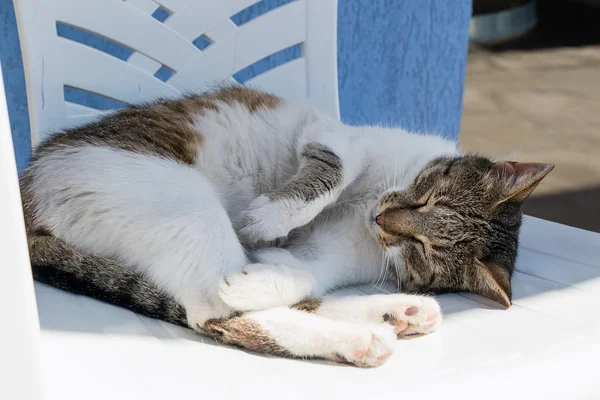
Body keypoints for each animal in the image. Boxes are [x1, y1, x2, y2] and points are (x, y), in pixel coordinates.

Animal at [19, 86, 552, 368]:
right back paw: (368, 333)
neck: (369, 204)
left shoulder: (330, 256)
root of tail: (26, 190)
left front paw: (263, 266)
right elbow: (334, 171)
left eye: (419, 247)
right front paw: (270, 216)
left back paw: (390, 317)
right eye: (426, 195)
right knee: (212, 313)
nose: (383, 218)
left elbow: (300, 274)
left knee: (230, 309)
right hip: (180, 199)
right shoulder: (336, 138)